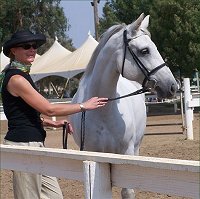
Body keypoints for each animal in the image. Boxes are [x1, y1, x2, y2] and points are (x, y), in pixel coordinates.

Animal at [69, 14, 177, 199]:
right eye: (144, 50)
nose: (172, 86)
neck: (102, 112)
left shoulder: (126, 152)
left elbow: (128, 191)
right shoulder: (93, 154)